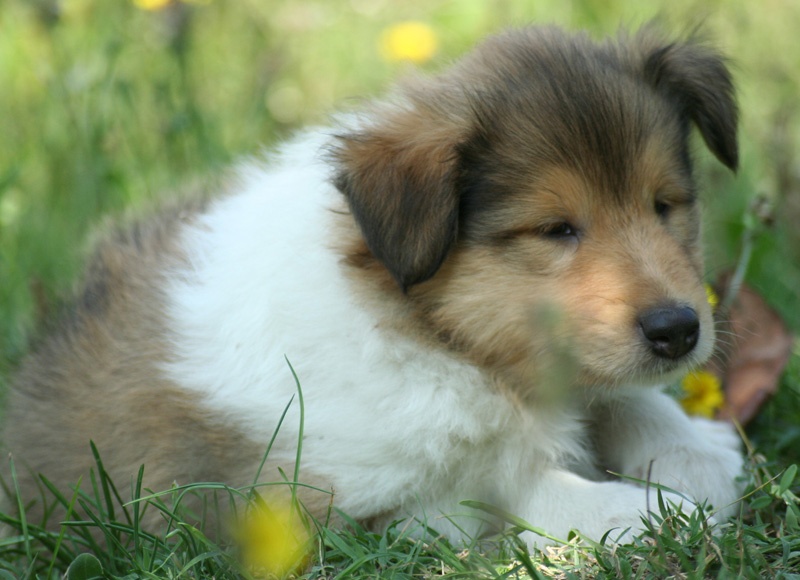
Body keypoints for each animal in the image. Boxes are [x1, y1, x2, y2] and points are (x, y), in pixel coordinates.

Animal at [2, 25, 744, 547]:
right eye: (557, 229)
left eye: (664, 205)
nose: (679, 331)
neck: (436, 337)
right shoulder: (360, 507)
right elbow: (516, 492)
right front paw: (648, 514)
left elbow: (624, 402)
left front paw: (701, 452)